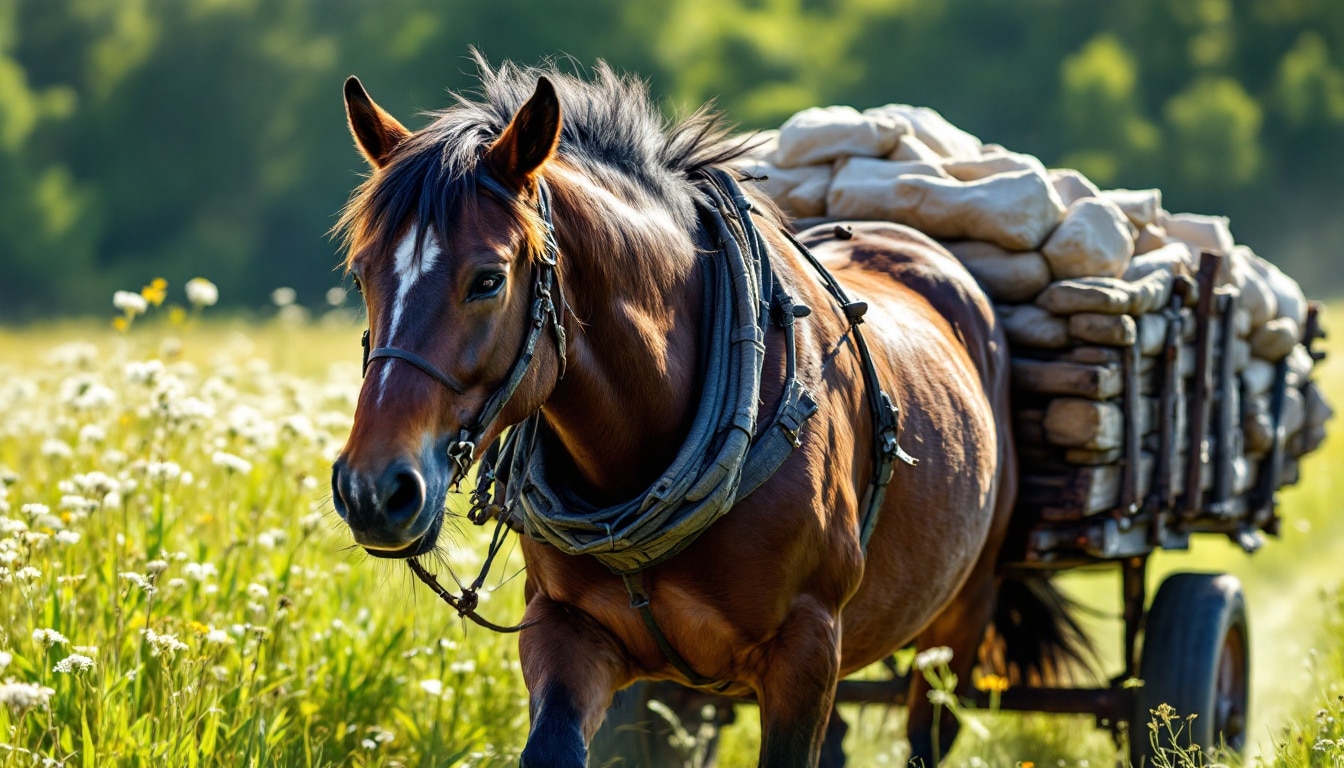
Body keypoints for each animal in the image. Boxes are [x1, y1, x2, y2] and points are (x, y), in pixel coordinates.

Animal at [327, 57, 1080, 763]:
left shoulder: (807, 648)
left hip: (959, 620)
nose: (373, 491)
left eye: (487, 280)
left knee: (928, 729)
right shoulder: (568, 631)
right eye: (362, 276)